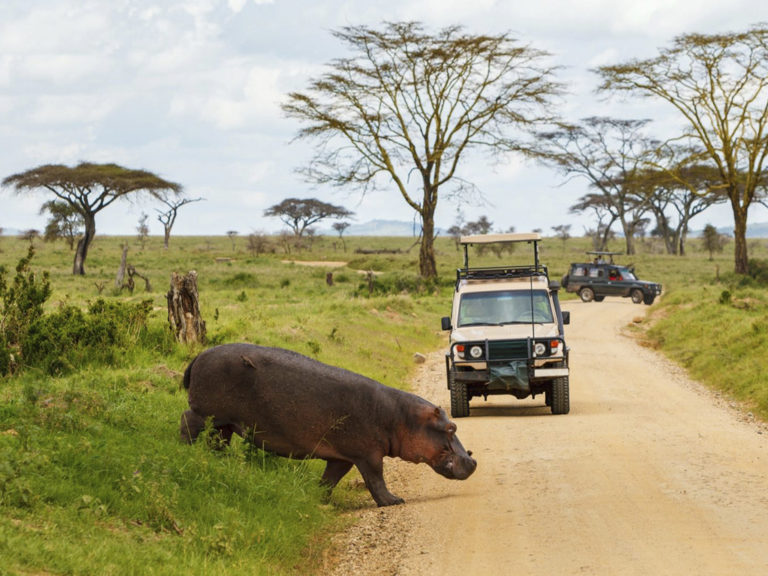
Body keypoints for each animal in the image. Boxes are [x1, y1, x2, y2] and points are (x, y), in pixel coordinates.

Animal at [180, 343, 477, 506]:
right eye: (451, 428)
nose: (473, 461)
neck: (401, 417)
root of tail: (198, 356)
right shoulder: (368, 455)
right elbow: (376, 479)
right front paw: (394, 501)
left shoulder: (342, 457)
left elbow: (329, 479)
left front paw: (318, 499)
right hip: (206, 413)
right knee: (187, 422)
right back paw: (185, 449)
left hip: (224, 423)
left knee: (217, 440)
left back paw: (217, 460)